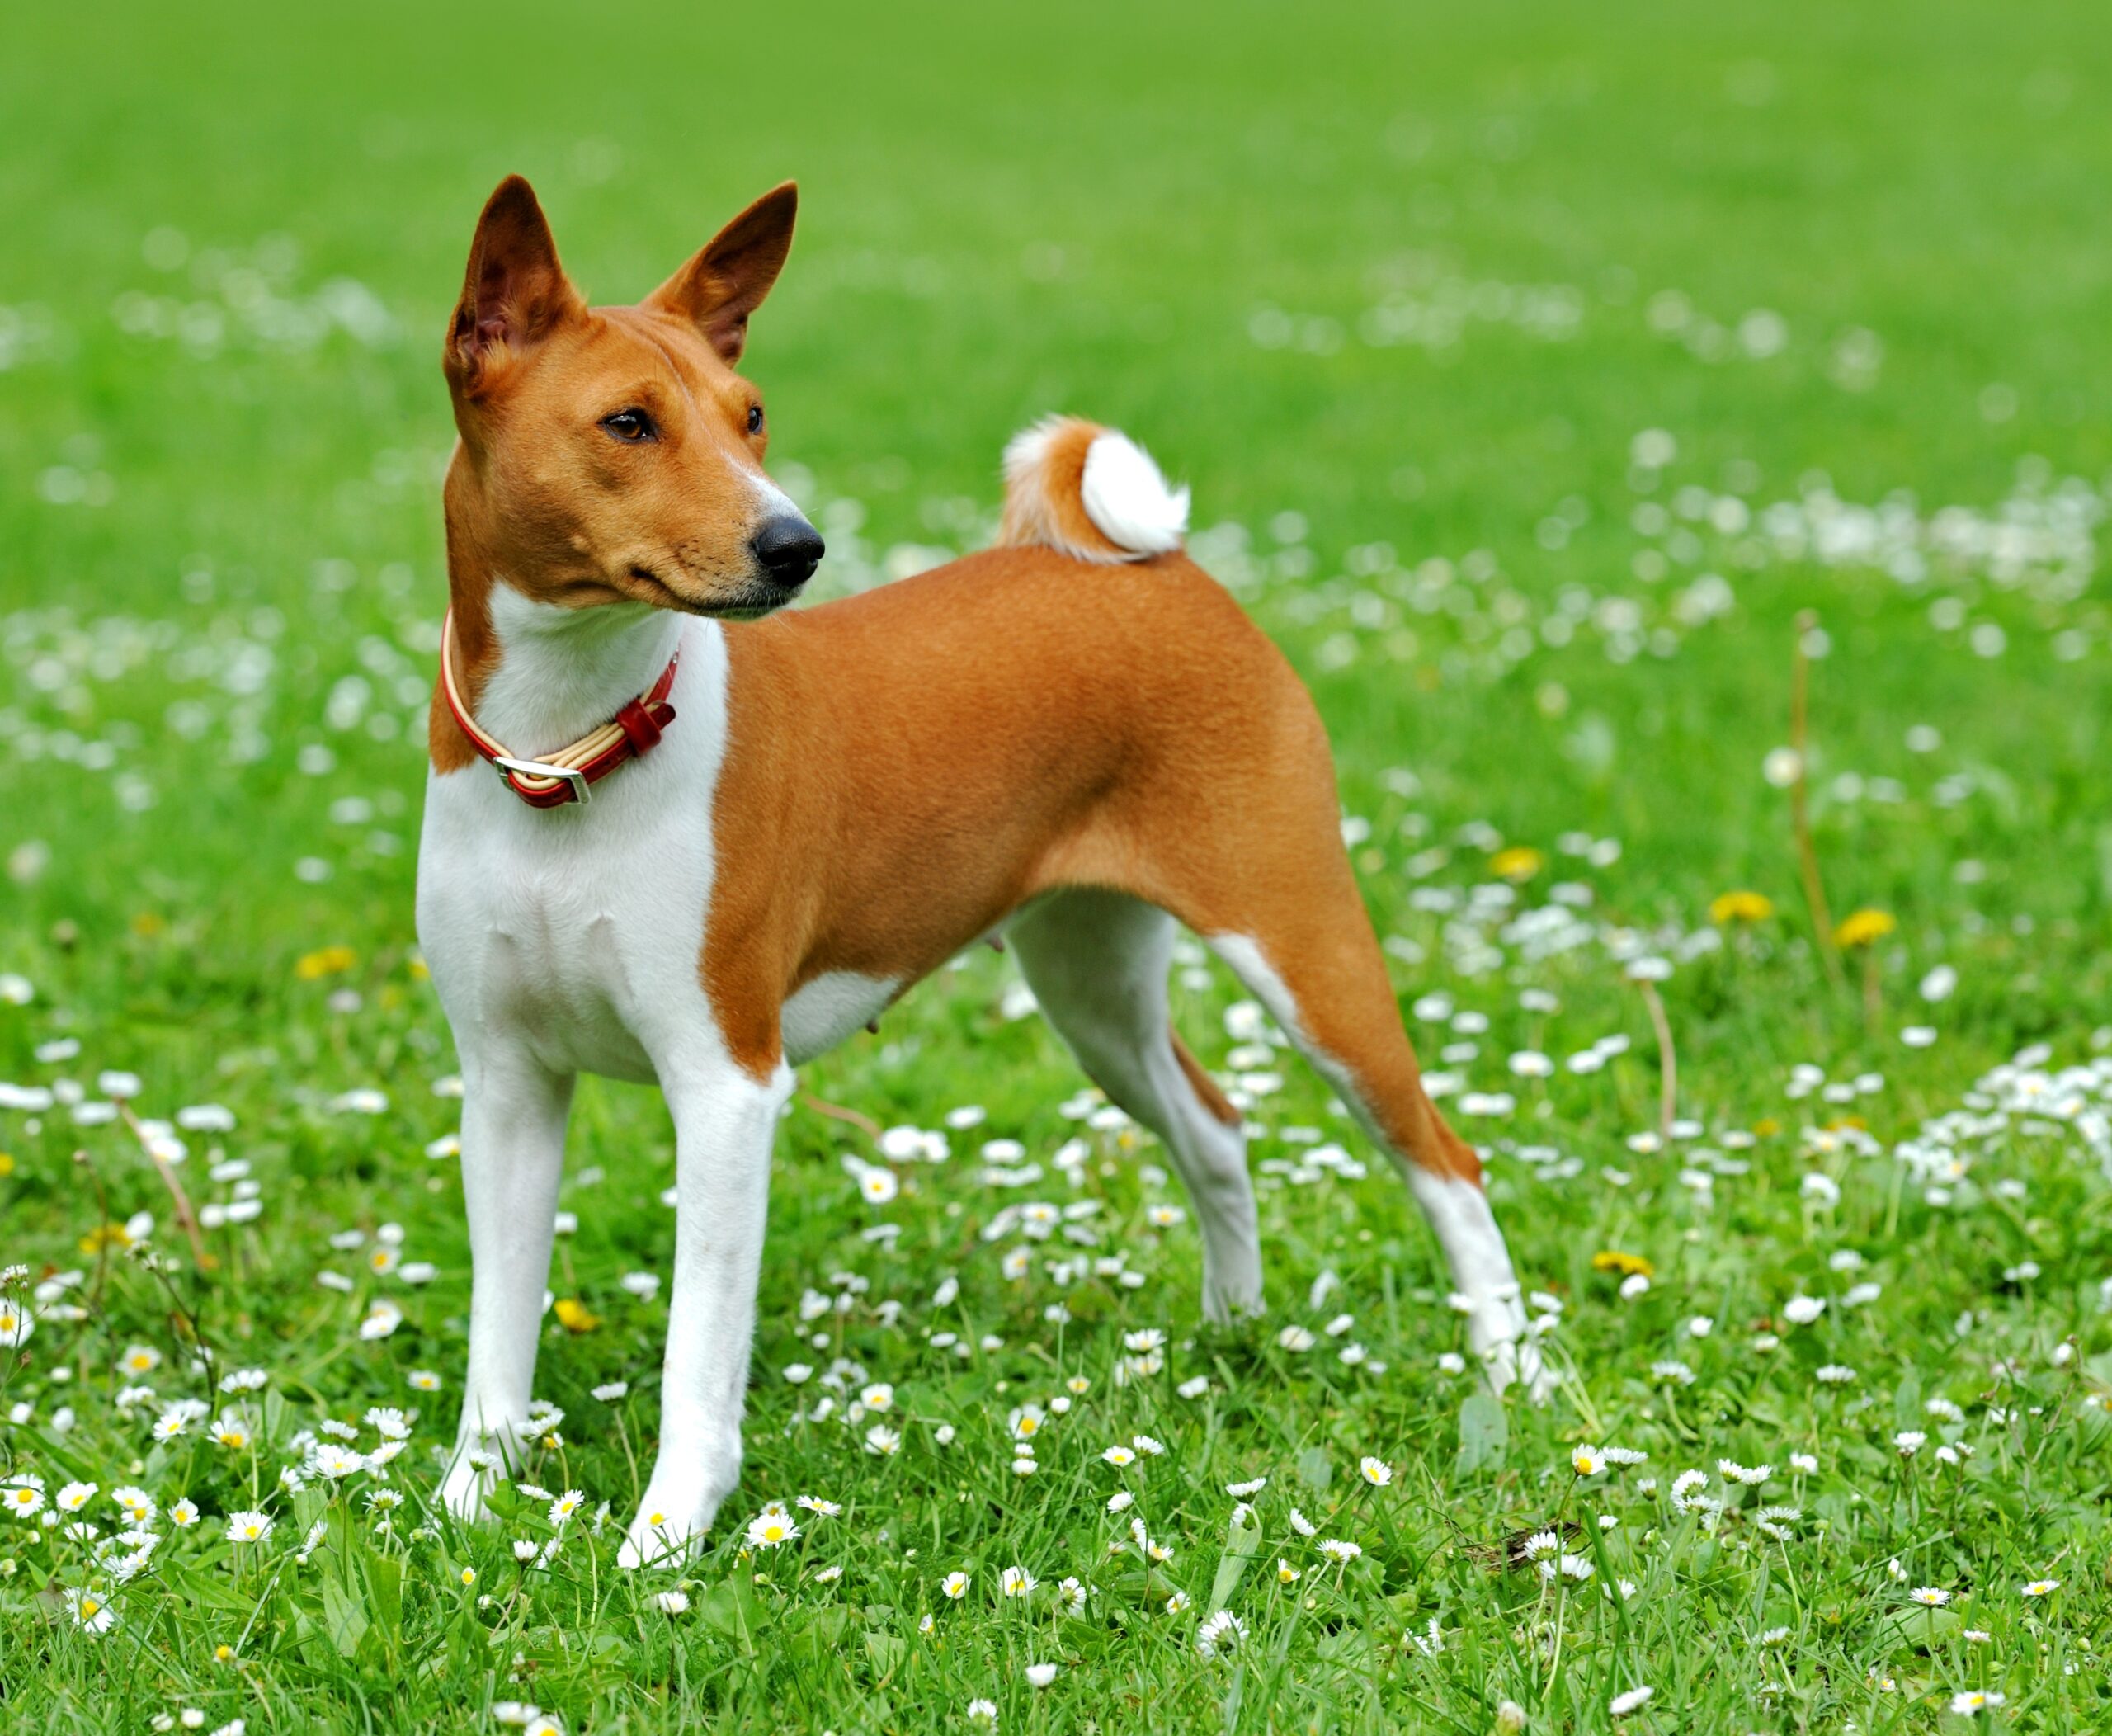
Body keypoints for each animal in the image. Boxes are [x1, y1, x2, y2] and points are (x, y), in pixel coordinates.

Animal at [416, 180, 1537, 1579]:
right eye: (629, 423)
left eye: (750, 415)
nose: (794, 544)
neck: (569, 757)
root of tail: (1159, 569)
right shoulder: (508, 1086)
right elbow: (496, 1337)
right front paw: (470, 1507)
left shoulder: (726, 1084)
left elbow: (695, 1356)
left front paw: (666, 1537)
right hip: (1094, 988)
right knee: (1216, 1128)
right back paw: (1229, 1340)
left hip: (1304, 951)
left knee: (1446, 1160)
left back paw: (1508, 1373)